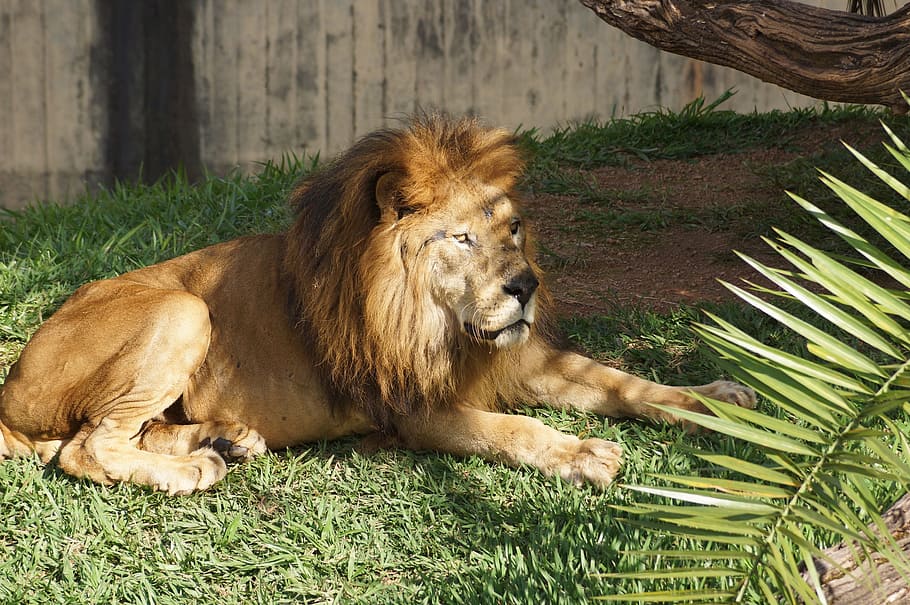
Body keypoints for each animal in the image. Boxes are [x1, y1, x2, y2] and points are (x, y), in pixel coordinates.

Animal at [0, 114, 755, 495]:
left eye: (513, 228)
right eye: (461, 237)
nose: (526, 287)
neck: (444, 323)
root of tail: (11, 389)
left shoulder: (520, 360)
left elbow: (627, 383)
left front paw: (718, 398)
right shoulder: (414, 407)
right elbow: (512, 430)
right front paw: (585, 453)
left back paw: (226, 439)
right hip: (185, 308)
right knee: (86, 447)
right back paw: (193, 471)